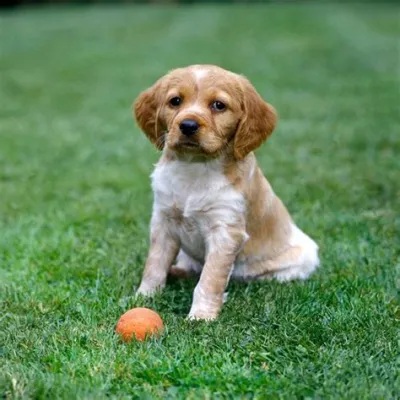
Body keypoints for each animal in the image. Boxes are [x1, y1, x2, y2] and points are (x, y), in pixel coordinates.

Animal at [133, 65, 320, 320]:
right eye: (175, 101)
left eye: (218, 105)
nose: (188, 125)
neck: (195, 167)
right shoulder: (163, 220)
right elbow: (154, 264)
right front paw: (144, 296)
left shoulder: (225, 231)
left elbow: (210, 278)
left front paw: (201, 316)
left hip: (303, 257)